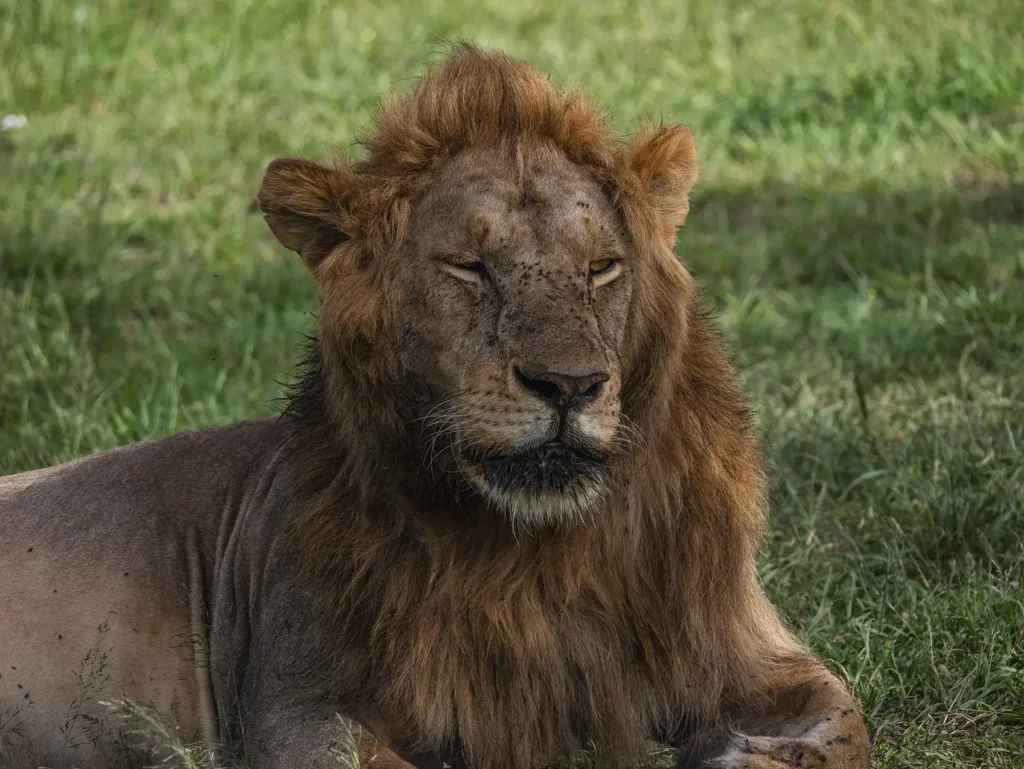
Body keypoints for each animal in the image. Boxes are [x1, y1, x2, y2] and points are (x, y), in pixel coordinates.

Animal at [0, 47, 870, 769]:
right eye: (469, 267)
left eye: (601, 267)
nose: (570, 385)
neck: (540, 554)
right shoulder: (292, 704)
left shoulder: (739, 643)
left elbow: (844, 719)